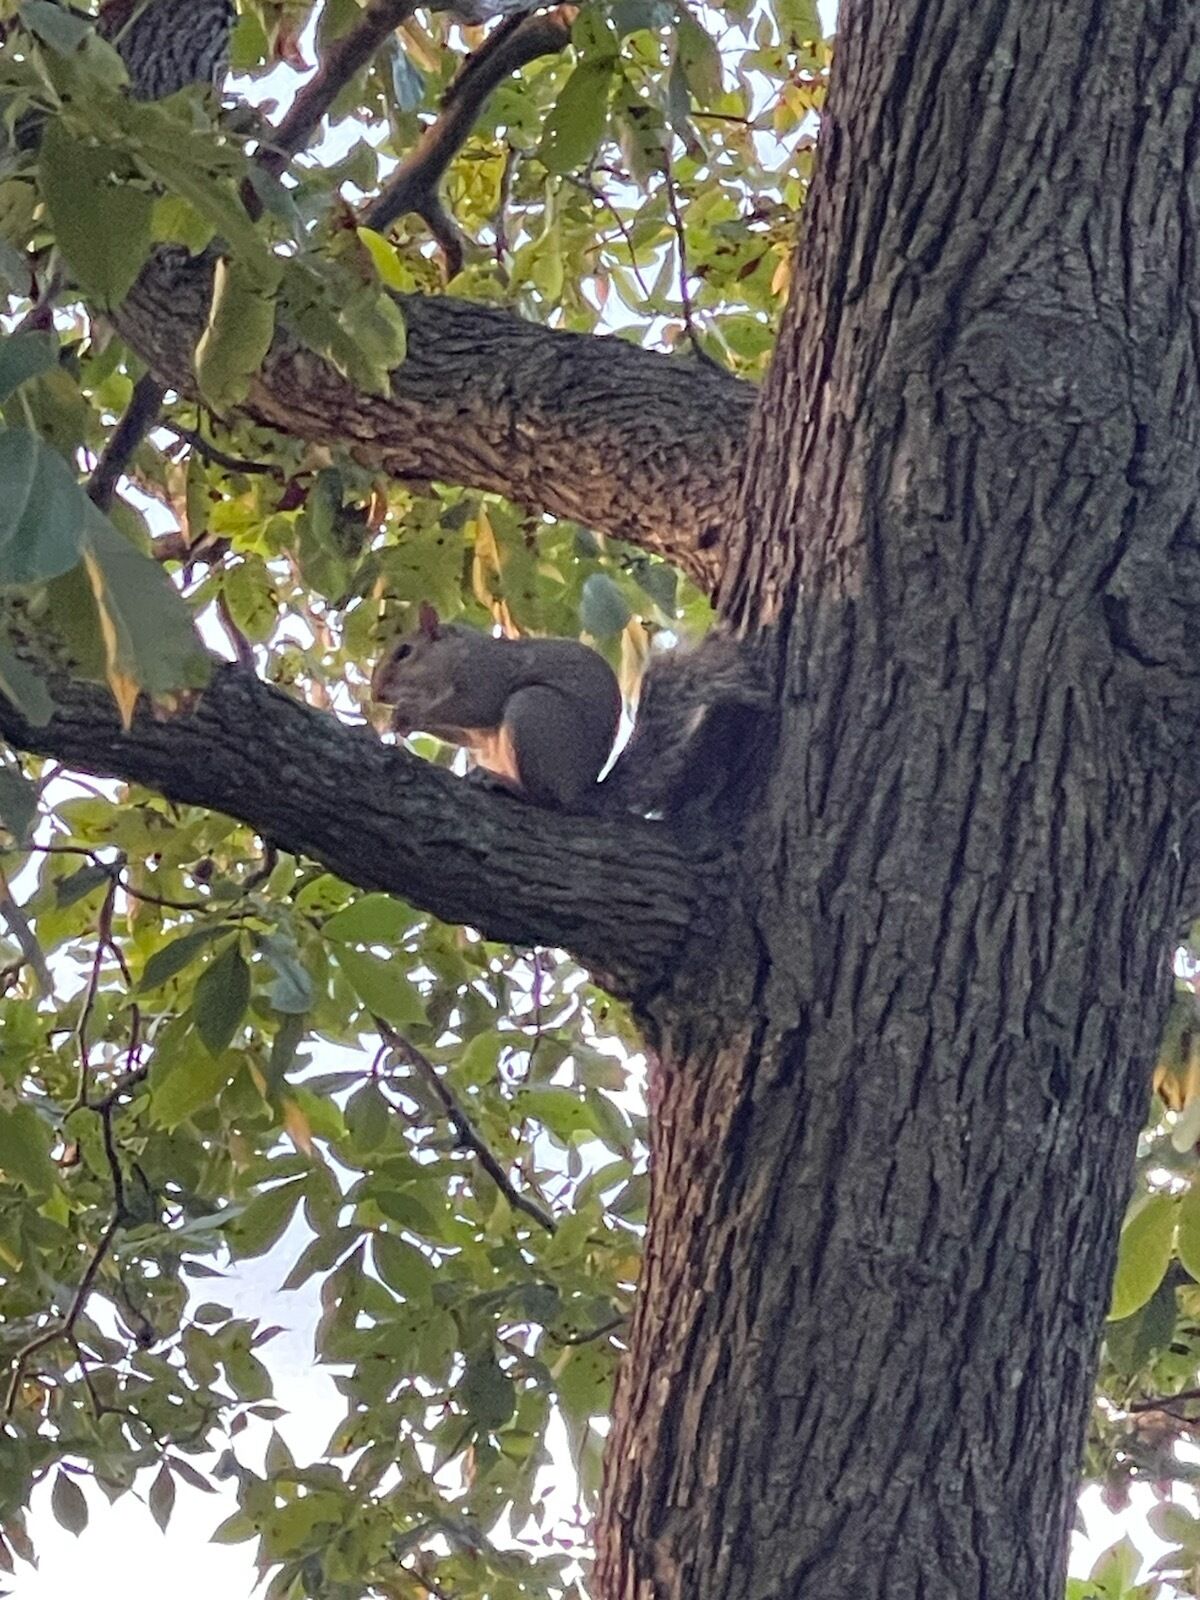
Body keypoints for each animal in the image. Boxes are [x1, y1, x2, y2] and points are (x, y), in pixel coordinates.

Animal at [370, 604, 773, 817]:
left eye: (404, 652)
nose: (376, 694)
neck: (456, 656)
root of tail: (580, 792)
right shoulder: (474, 732)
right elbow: (465, 733)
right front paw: (398, 721)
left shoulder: (489, 674)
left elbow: (476, 708)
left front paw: (409, 713)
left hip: (533, 712)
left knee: (548, 800)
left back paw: (507, 785)